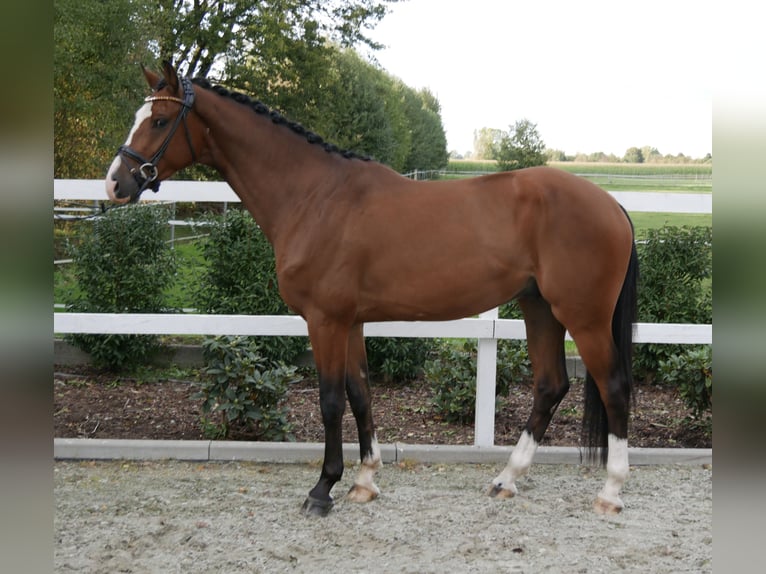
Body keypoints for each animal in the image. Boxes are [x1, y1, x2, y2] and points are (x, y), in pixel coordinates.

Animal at [105, 62, 640, 516]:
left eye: (159, 121)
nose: (115, 183)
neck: (314, 196)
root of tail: (611, 204)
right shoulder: (352, 321)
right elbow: (360, 394)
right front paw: (364, 481)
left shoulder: (325, 320)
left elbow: (330, 400)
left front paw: (323, 489)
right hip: (540, 307)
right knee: (550, 386)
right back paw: (506, 479)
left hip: (583, 316)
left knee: (613, 386)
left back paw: (611, 492)